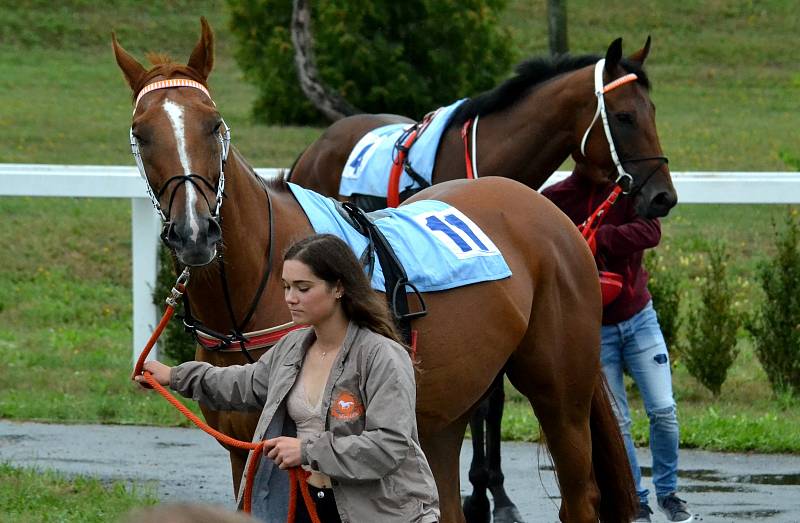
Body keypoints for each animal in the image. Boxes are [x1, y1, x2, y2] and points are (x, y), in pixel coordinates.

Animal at [112, 18, 640, 520]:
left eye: (213, 123)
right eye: (140, 133)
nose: (195, 232)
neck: (245, 308)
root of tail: (550, 214)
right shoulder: (244, 449)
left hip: (561, 393)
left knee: (580, 498)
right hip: (443, 414)